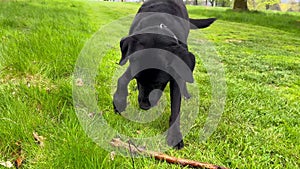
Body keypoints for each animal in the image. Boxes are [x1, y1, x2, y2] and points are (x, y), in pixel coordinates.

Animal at [113, 0, 216, 149]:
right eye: (138, 79)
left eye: (160, 83)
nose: (144, 106)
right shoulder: (132, 62)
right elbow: (122, 79)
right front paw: (119, 102)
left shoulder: (176, 75)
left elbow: (176, 108)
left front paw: (175, 136)